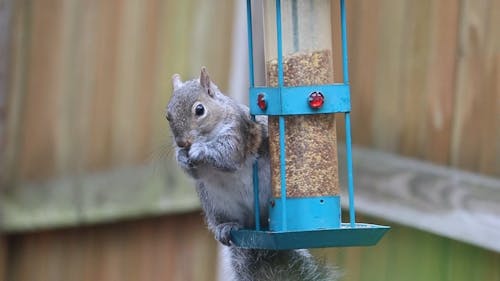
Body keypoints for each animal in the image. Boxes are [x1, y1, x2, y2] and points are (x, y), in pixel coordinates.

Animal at [166, 66, 338, 278]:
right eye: (168, 115)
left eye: (200, 110)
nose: (182, 143)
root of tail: (254, 229)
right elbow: (194, 173)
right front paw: (181, 157)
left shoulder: (238, 133)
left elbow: (227, 156)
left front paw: (200, 150)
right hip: (217, 204)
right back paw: (226, 226)